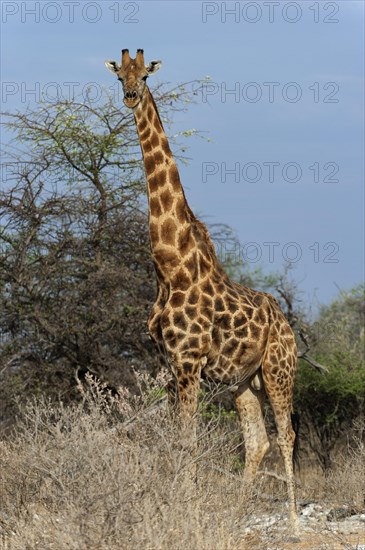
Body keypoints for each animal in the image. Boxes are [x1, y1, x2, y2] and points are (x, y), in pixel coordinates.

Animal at [105, 49, 298, 532]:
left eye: (144, 75)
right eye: (119, 76)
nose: (130, 96)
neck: (170, 266)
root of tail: (288, 324)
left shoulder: (189, 360)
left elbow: (188, 442)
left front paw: (184, 514)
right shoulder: (170, 362)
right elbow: (176, 440)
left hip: (279, 370)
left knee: (286, 434)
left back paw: (293, 521)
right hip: (243, 381)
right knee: (258, 441)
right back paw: (233, 520)